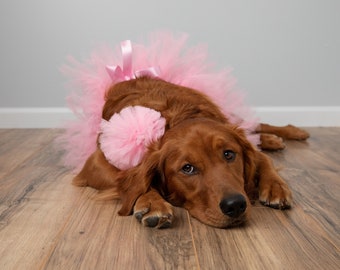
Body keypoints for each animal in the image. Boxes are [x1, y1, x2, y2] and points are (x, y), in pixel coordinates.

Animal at [72, 77, 310, 229]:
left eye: (229, 154)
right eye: (187, 168)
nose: (235, 205)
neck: (176, 118)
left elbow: (263, 159)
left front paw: (275, 187)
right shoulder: (95, 163)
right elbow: (132, 181)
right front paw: (152, 202)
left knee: (256, 127)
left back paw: (289, 133)